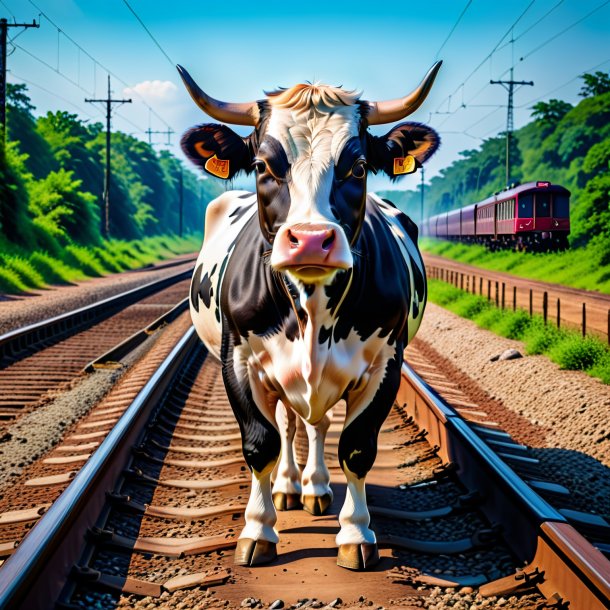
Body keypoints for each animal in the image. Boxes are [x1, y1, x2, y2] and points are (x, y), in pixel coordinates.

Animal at [178, 60, 440, 564]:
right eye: (262, 165)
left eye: (358, 167)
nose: (312, 240)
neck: (313, 308)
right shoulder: (237, 360)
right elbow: (260, 443)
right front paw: (258, 531)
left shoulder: (386, 363)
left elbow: (356, 447)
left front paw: (356, 534)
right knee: (287, 424)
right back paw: (288, 488)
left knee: (317, 424)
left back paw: (315, 488)